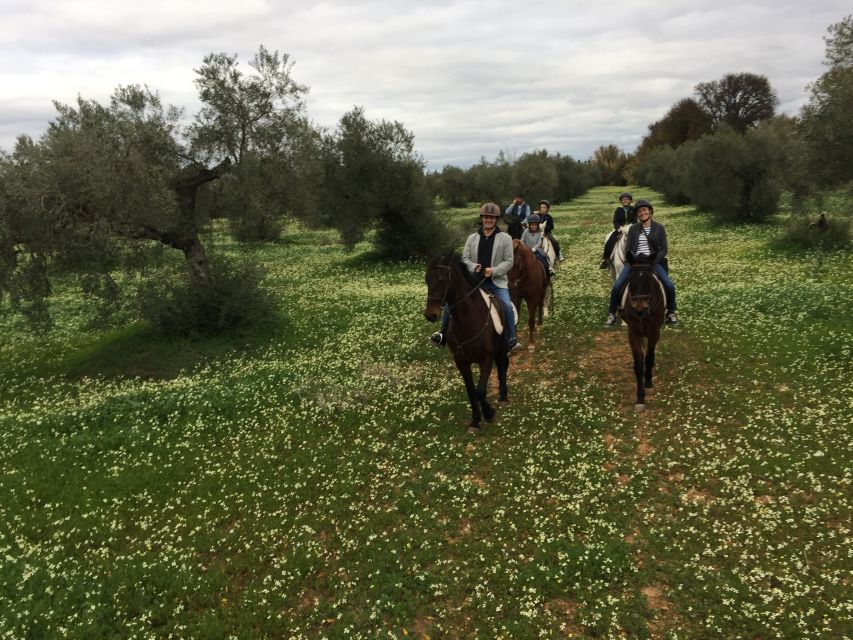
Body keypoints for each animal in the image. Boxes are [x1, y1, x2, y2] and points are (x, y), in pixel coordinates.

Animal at [424, 252, 510, 432]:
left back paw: (503, 397)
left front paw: (489, 413)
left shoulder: (486, 358)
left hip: (502, 347)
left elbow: (480, 391)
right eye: (427, 279)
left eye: (442, 279)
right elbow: (471, 391)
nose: (430, 315)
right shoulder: (461, 362)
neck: (467, 320)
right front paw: (476, 420)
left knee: (503, 368)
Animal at [620, 264, 664, 410]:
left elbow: (649, 358)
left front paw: (648, 382)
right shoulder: (633, 333)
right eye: (630, 281)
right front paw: (640, 398)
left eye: (649, 281)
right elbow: (639, 364)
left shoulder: (654, 332)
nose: (640, 309)